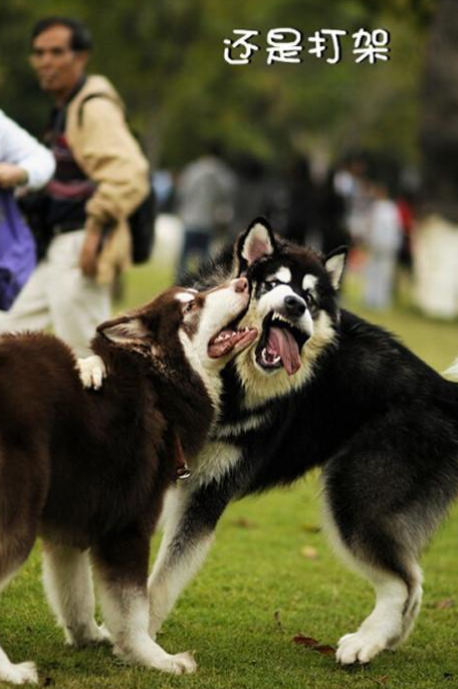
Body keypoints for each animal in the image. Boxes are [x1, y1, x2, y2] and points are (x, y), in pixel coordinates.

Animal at [0, 276, 256, 684]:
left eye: (196, 295)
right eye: (191, 307)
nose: (244, 280)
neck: (159, 388)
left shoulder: (70, 525)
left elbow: (76, 594)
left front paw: (91, 637)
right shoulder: (129, 527)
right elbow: (134, 608)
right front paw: (153, 657)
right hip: (19, 523)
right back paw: (11, 671)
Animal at [83, 218, 458, 664]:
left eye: (310, 297)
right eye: (274, 284)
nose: (295, 304)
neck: (231, 386)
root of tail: (442, 390)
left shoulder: (207, 494)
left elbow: (165, 578)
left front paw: (139, 642)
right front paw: (91, 368)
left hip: (354, 495)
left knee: (400, 581)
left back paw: (366, 642)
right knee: (413, 580)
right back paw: (389, 639)